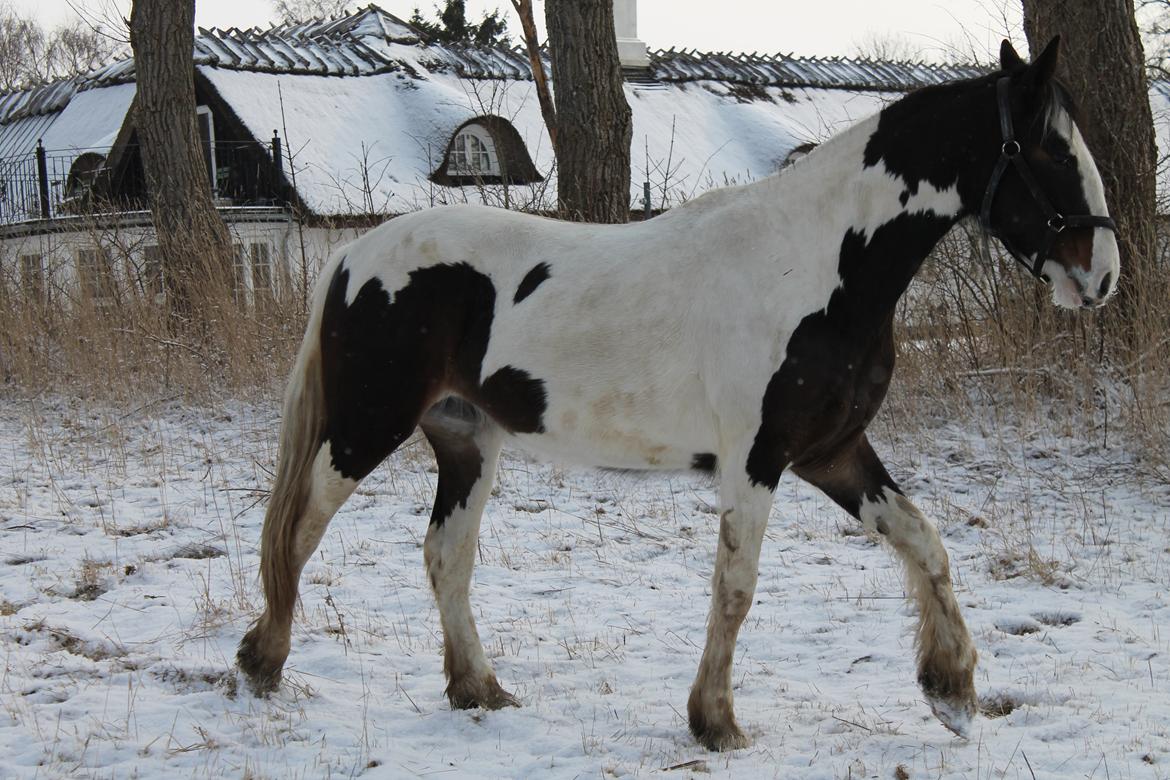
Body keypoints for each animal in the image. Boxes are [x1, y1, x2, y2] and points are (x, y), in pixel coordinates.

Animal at [235, 39, 1113, 753]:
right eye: (1048, 149)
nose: (1101, 277)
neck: (818, 265)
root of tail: (355, 255)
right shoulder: (756, 462)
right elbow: (736, 589)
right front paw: (715, 721)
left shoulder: (831, 453)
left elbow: (925, 543)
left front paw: (952, 691)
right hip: (364, 427)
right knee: (298, 533)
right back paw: (263, 662)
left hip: (465, 439)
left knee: (445, 556)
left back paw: (477, 688)